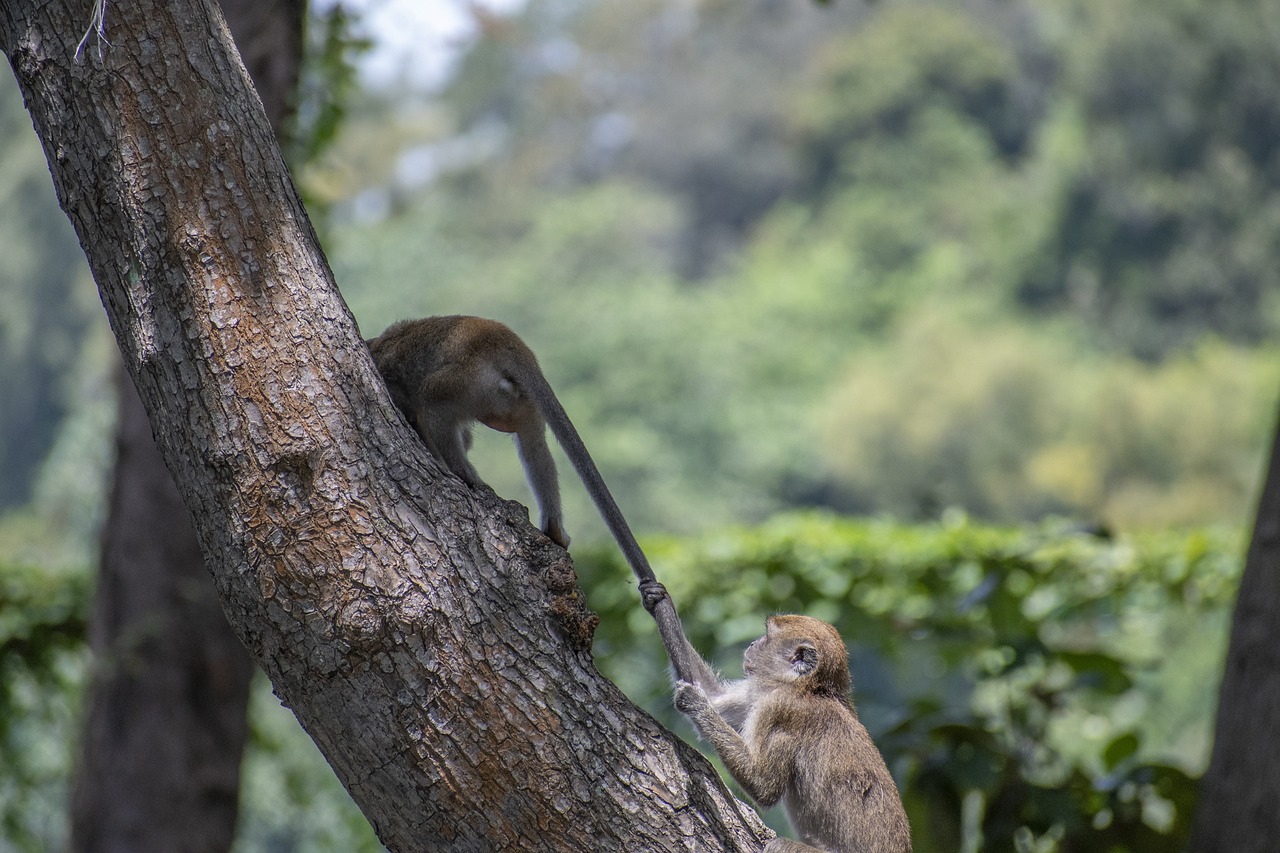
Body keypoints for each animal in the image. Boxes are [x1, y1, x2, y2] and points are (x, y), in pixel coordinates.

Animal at [367, 316, 659, 583]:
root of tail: (495, 335)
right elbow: (468, 438)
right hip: (513, 398)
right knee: (533, 443)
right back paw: (554, 529)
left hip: (471, 382)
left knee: (431, 399)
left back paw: (464, 475)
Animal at [641, 582, 912, 853]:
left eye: (768, 636)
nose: (752, 643)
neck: (810, 689)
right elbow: (716, 698)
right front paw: (658, 600)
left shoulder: (779, 709)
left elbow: (764, 786)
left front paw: (696, 703)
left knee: (778, 844)